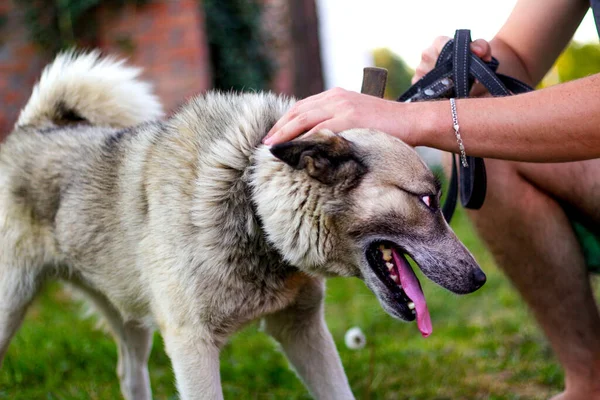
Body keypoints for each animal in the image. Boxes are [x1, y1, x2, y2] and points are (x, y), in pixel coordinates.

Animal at [0, 51, 488, 398]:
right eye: (427, 200)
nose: (481, 279)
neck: (248, 195)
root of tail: (31, 129)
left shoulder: (302, 331)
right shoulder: (192, 348)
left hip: (129, 319)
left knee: (130, 374)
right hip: (11, 305)